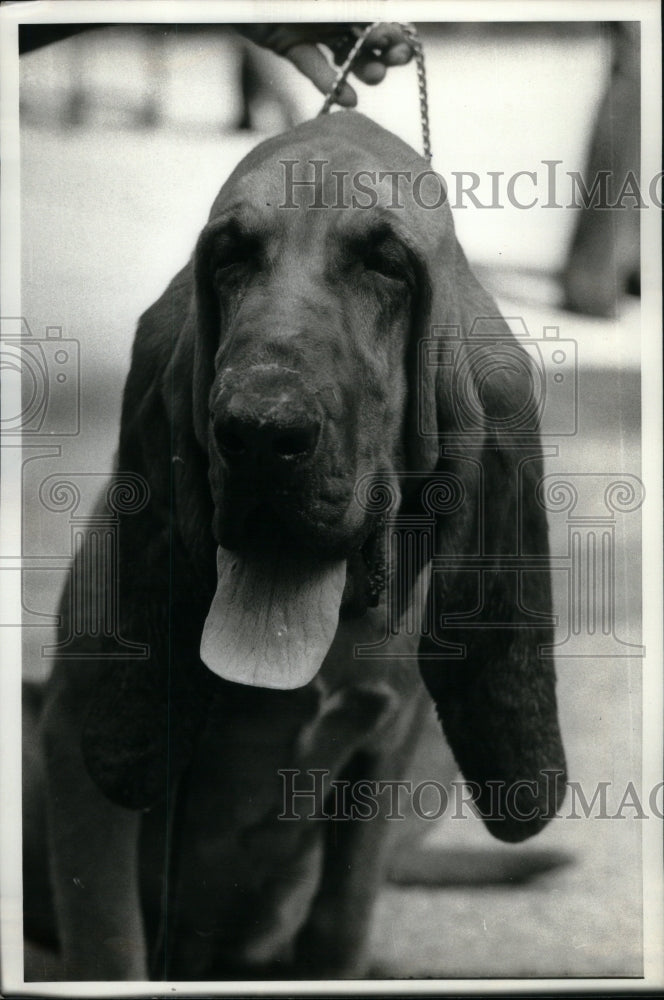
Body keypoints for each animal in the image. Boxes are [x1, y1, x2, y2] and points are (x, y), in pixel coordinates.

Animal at [24, 113, 564, 980]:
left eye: (387, 264)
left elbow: (340, 921)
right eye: (229, 256)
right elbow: (109, 946)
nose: (257, 434)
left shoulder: (386, 756)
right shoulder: (81, 749)